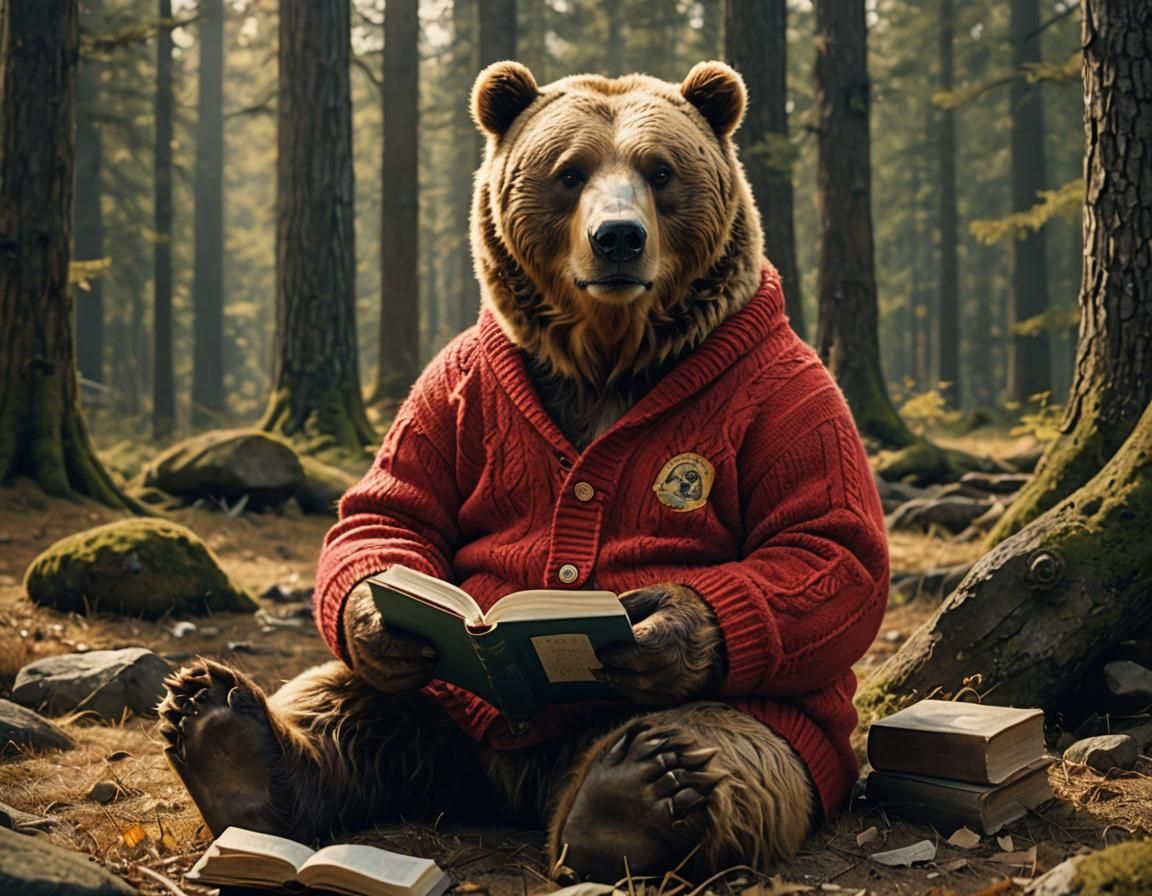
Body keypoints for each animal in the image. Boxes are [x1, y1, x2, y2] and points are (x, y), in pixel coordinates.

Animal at [158, 60, 889, 884]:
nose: (617, 238)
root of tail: (508, 784)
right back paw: (225, 732)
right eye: (570, 171)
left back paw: (637, 794)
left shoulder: (788, 393)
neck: (608, 359)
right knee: (341, 705)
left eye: (660, 170)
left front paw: (659, 630)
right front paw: (380, 616)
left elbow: (824, 548)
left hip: (765, 730)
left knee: (725, 748)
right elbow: (393, 507)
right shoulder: (456, 385)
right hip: (435, 702)